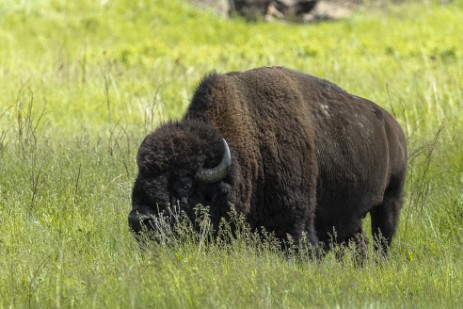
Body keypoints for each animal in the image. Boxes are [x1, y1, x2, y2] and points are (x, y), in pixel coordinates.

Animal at [129, 66, 408, 256]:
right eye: (139, 178)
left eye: (186, 185)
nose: (139, 220)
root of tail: (394, 127)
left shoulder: (296, 225)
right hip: (348, 218)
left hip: (390, 201)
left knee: (382, 239)